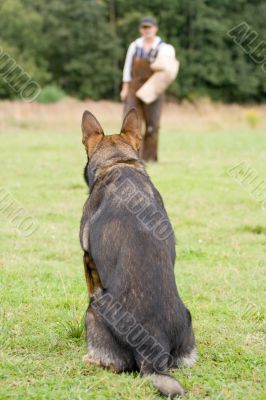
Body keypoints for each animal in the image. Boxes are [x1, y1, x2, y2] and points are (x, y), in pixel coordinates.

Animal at [79, 108, 195, 396]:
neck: (119, 163)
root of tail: (153, 349)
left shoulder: (87, 259)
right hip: (187, 333)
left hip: (95, 308)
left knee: (113, 364)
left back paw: (88, 358)